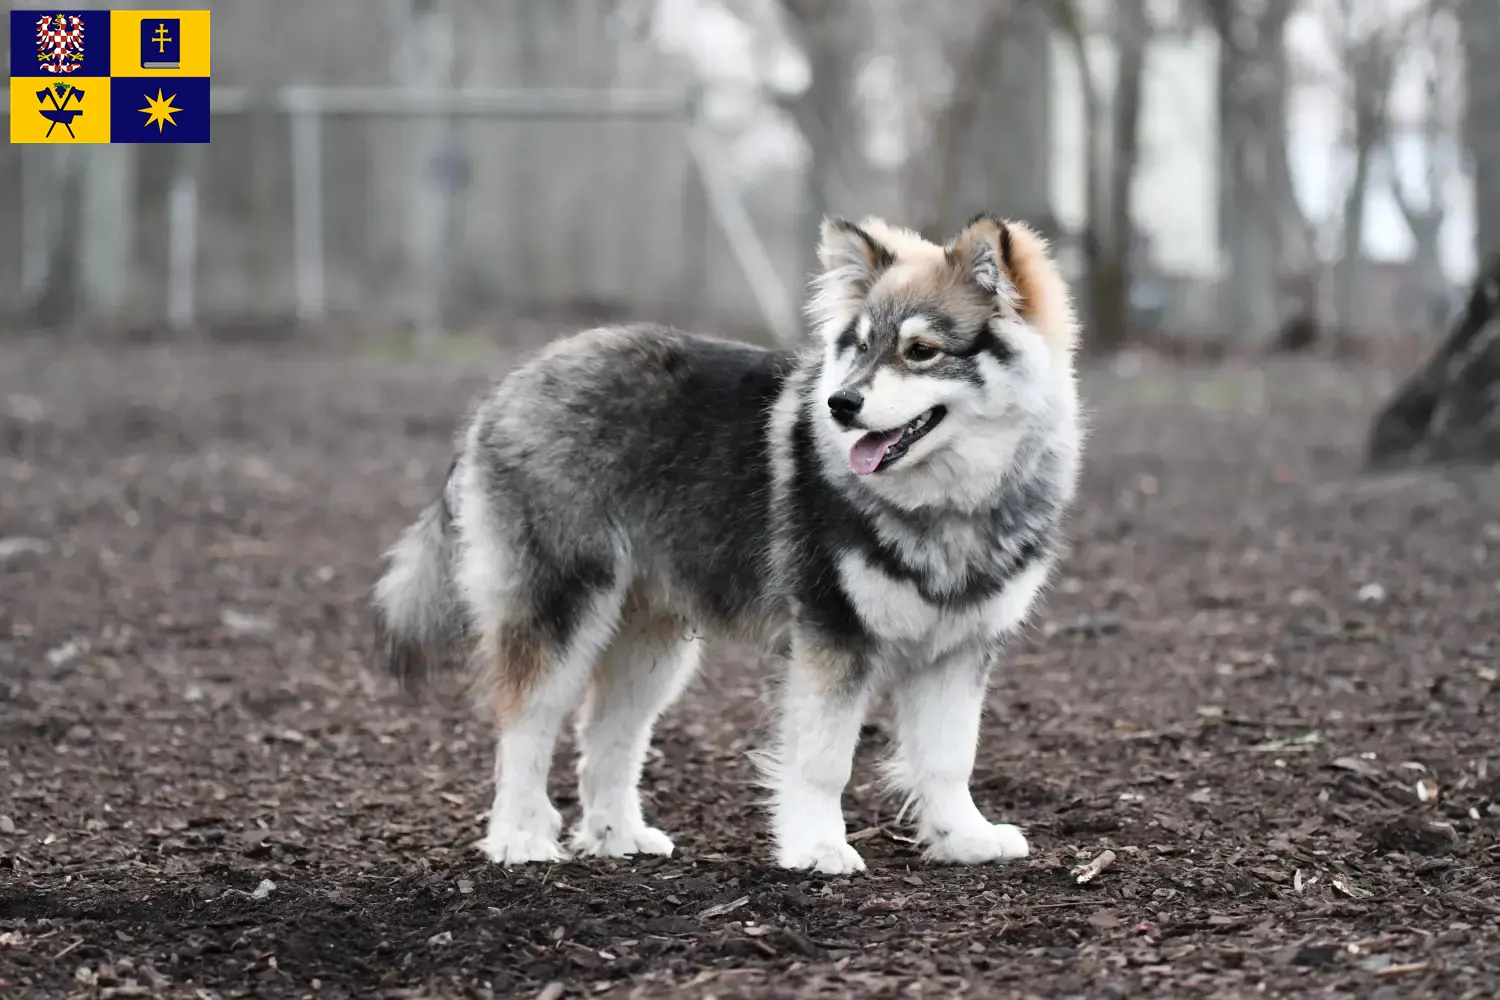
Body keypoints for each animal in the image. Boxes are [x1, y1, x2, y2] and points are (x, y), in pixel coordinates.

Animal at [373, 212, 1080, 875]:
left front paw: (964, 837)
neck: (949, 504)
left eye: (923, 350)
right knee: (526, 724)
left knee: (607, 736)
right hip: (560, 608)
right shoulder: (832, 636)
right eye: (858, 347)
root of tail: (506, 389)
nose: (840, 404)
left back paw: (617, 836)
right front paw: (819, 847)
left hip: (651, 641)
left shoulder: (960, 648)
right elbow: (824, 761)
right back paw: (519, 837)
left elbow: (949, 759)